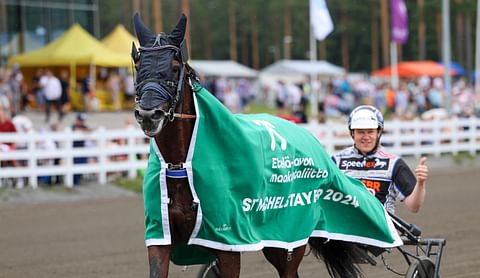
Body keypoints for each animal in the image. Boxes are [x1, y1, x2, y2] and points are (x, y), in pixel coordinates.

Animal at [130, 13, 402, 278]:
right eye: (139, 66)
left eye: (174, 67)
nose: (148, 115)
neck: (180, 165)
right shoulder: (161, 236)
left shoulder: (228, 241)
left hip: (288, 237)